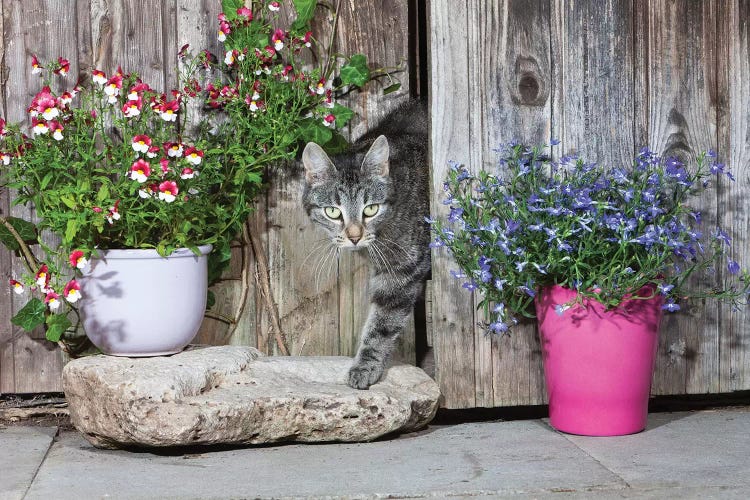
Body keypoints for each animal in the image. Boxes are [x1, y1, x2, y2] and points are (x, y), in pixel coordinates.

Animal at [300, 100, 428, 390]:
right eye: (332, 212)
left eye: (370, 209)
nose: (355, 236)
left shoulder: (402, 271)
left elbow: (382, 323)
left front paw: (365, 366)